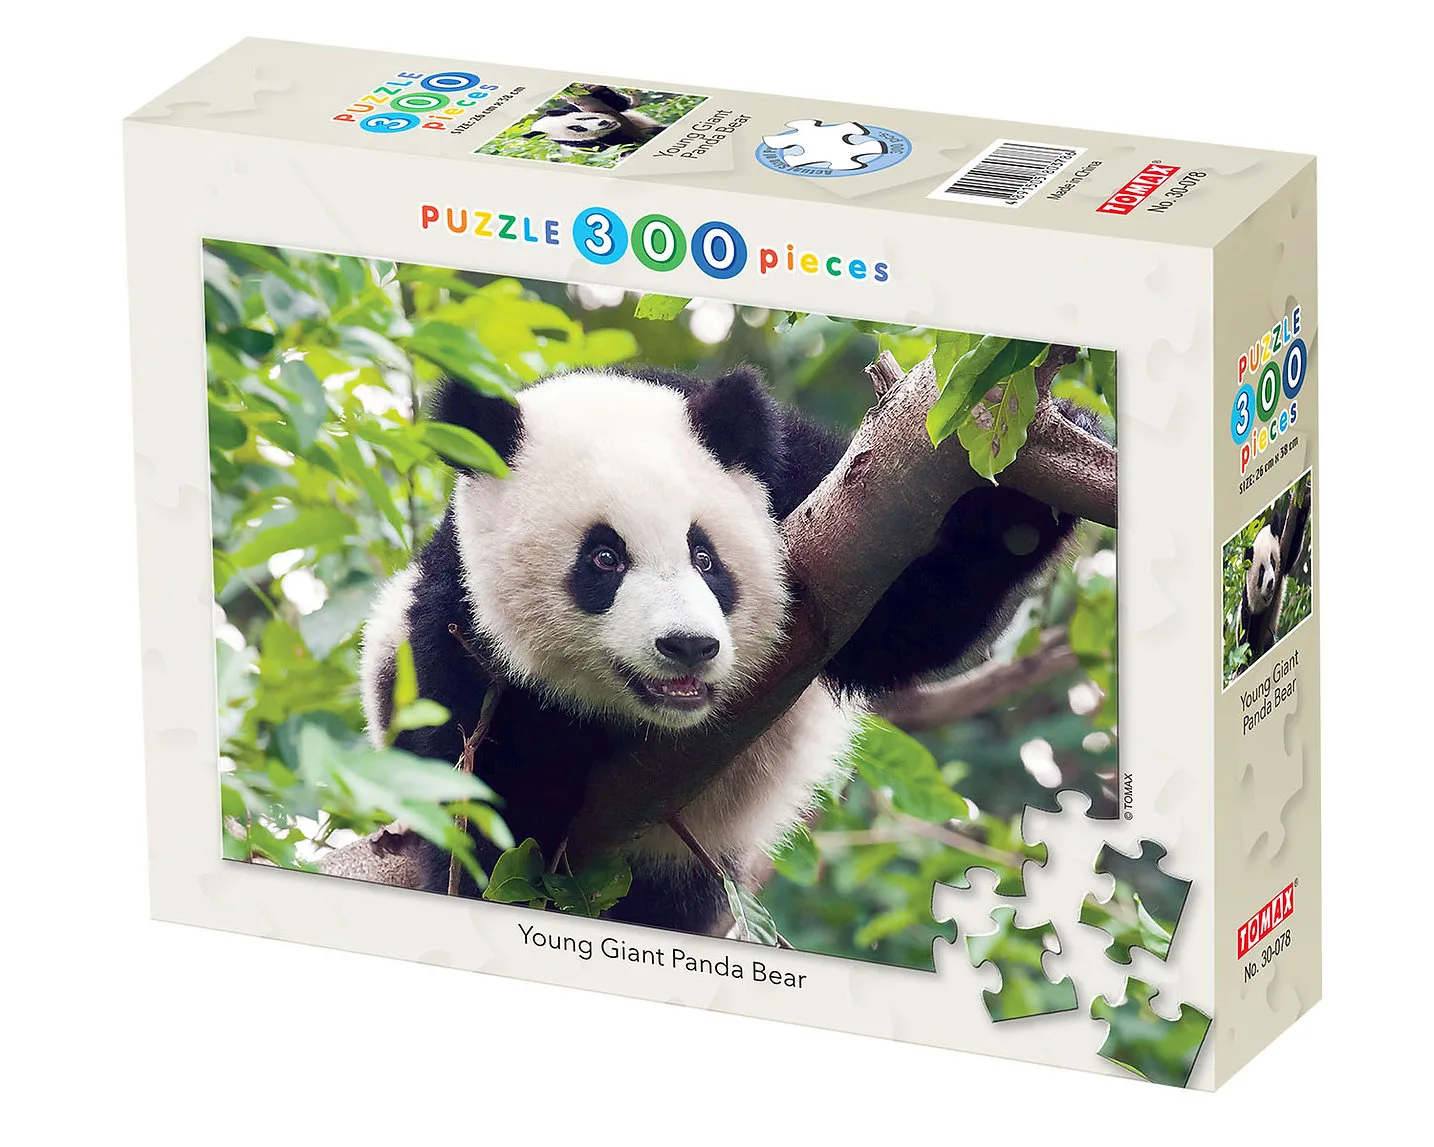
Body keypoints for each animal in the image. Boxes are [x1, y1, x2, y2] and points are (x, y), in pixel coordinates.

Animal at [358, 366, 1105, 936]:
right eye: (603, 558)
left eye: (704, 555)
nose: (687, 645)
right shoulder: (453, 626)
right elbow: (475, 790)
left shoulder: (805, 490)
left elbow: (905, 618)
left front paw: (1037, 479)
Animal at [523, 85, 662, 152]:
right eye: (578, 128)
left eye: (583, 119)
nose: (603, 123)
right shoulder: (581, 144)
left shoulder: (571, 107)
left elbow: (619, 104)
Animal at [1238, 495, 1309, 662]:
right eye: (1261, 573)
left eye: (1272, 561)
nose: (1270, 583)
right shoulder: (1248, 605)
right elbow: (1246, 635)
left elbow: (1291, 555)